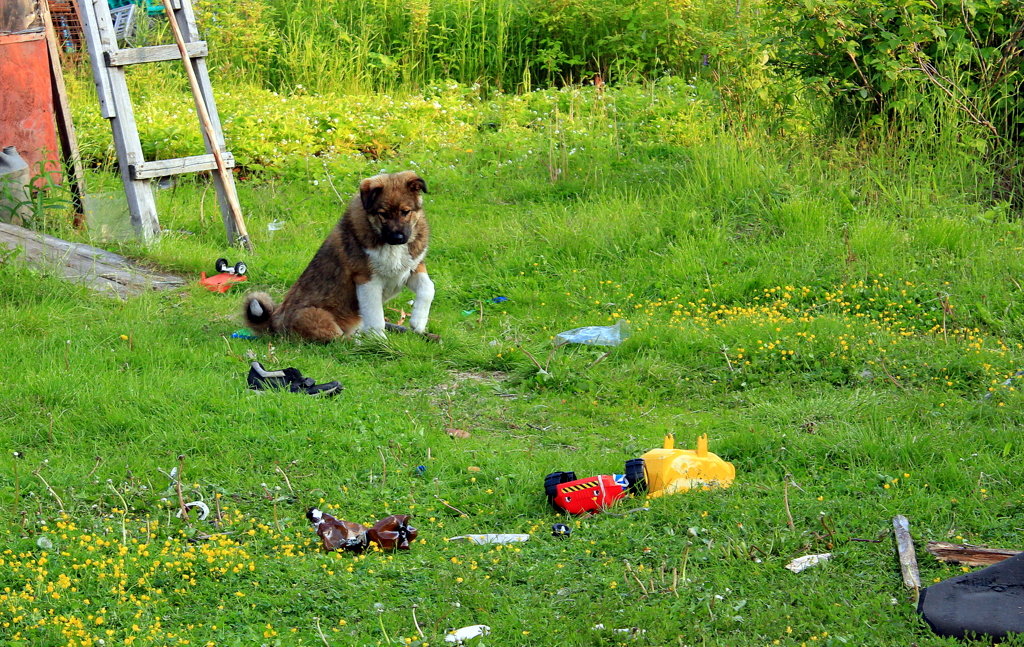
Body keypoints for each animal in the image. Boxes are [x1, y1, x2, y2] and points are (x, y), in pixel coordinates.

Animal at [241, 171, 434, 343]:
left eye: (405, 211)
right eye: (383, 214)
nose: (398, 238)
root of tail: (274, 323)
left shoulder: (411, 268)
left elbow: (428, 288)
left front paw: (418, 322)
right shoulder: (367, 280)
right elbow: (376, 317)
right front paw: (380, 342)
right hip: (315, 315)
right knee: (338, 340)